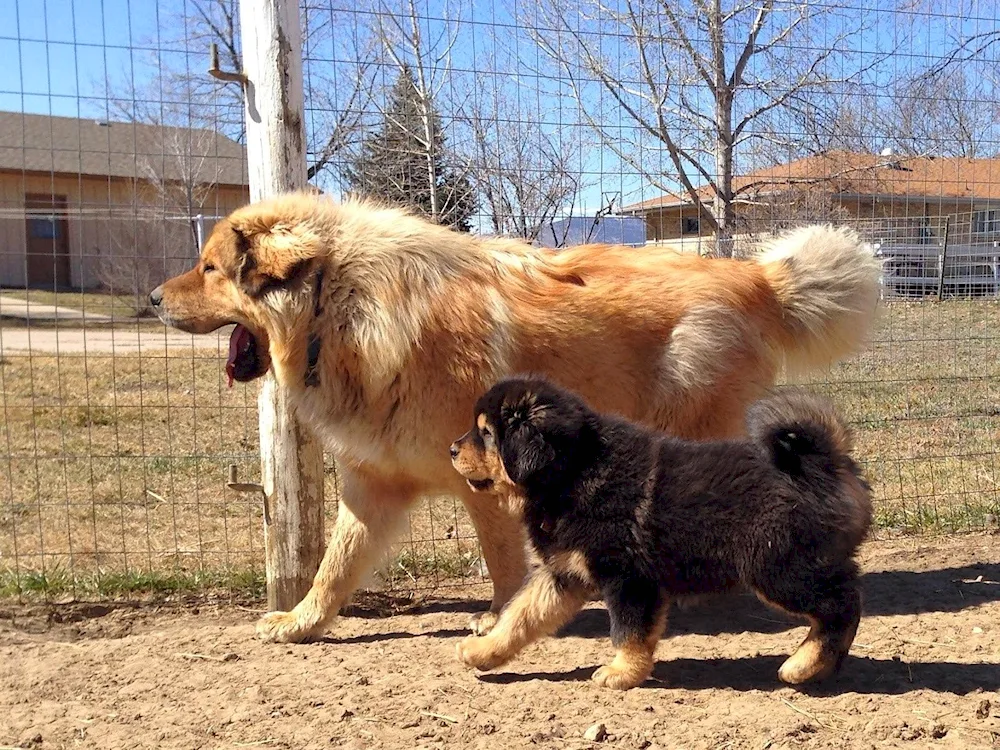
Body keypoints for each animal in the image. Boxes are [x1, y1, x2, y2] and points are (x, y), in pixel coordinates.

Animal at [150, 191, 884, 644]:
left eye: (209, 267)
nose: (153, 297)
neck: (342, 304)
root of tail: (756, 276)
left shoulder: (481, 481)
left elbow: (502, 562)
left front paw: (499, 619)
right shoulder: (371, 484)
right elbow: (335, 566)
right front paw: (301, 622)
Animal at [450, 378, 872, 692]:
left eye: (486, 434)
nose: (452, 448)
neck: (572, 473)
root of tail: (828, 464)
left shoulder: (628, 579)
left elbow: (628, 631)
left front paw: (621, 672)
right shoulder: (561, 574)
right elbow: (518, 617)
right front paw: (483, 650)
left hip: (778, 567)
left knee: (842, 604)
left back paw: (803, 664)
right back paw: (821, 667)